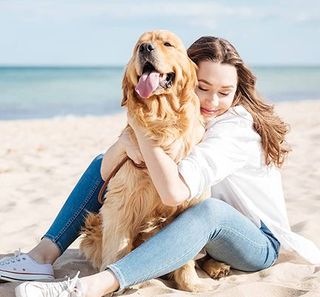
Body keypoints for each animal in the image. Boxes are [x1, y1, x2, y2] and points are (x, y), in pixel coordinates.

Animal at [80, 30, 230, 292]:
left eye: (167, 44)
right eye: (138, 46)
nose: (146, 48)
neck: (161, 118)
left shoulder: (191, 201)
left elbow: (187, 256)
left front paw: (191, 284)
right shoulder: (121, 201)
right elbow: (117, 249)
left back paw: (216, 267)